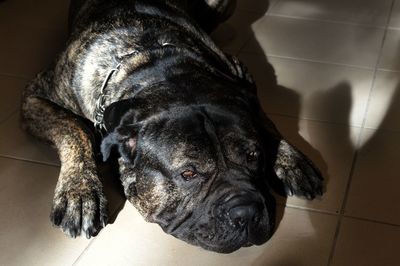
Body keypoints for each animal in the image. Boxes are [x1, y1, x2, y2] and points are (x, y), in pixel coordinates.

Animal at [20, 0, 324, 254]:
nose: (246, 213)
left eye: (254, 156)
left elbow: (263, 116)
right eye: (188, 173)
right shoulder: (35, 96)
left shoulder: (240, 74)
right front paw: (79, 191)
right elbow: (74, 129)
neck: (148, 63)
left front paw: (290, 160)